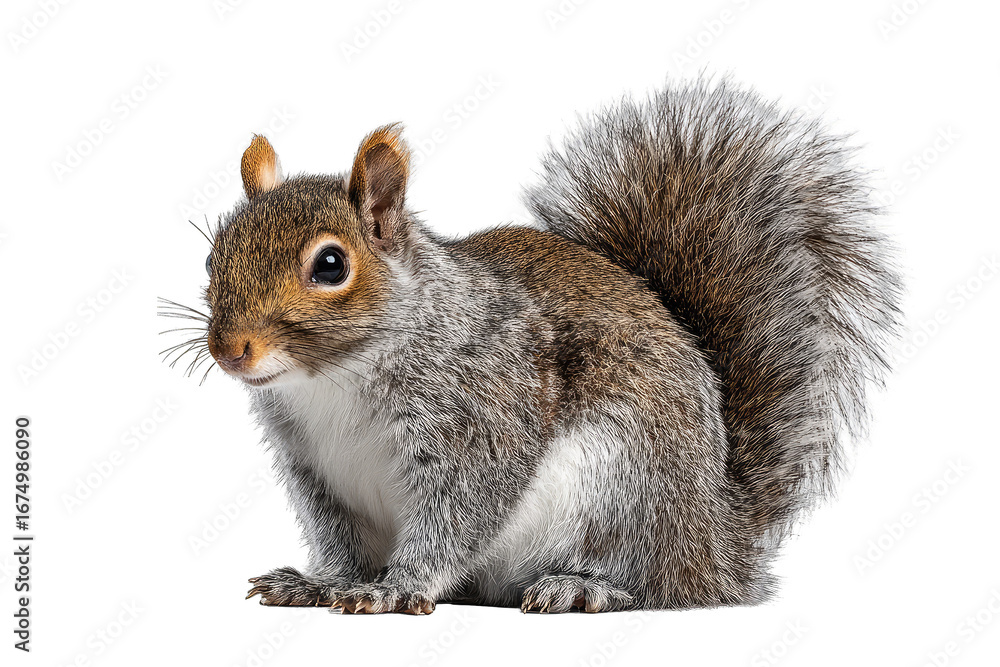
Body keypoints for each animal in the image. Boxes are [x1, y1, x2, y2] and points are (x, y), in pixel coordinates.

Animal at [186, 78, 901, 614]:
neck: (331, 379)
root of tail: (720, 540)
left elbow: (460, 512)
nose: (229, 349)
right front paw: (320, 583)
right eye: (213, 255)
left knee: (653, 586)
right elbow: (338, 540)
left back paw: (583, 588)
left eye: (331, 265)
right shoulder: (317, 471)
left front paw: (394, 589)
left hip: (623, 488)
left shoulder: (483, 413)